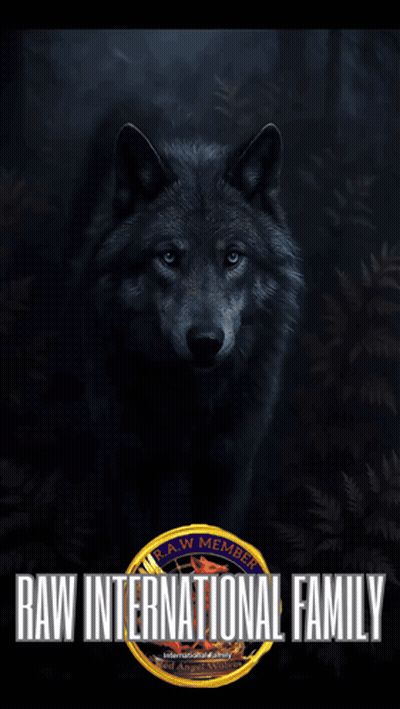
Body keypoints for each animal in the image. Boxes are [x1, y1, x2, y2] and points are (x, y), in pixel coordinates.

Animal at [73, 122, 302, 540]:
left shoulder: (230, 468)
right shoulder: (130, 467)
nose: (206, 342)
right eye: (168, 256)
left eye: (233, 257)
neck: (189, 403)